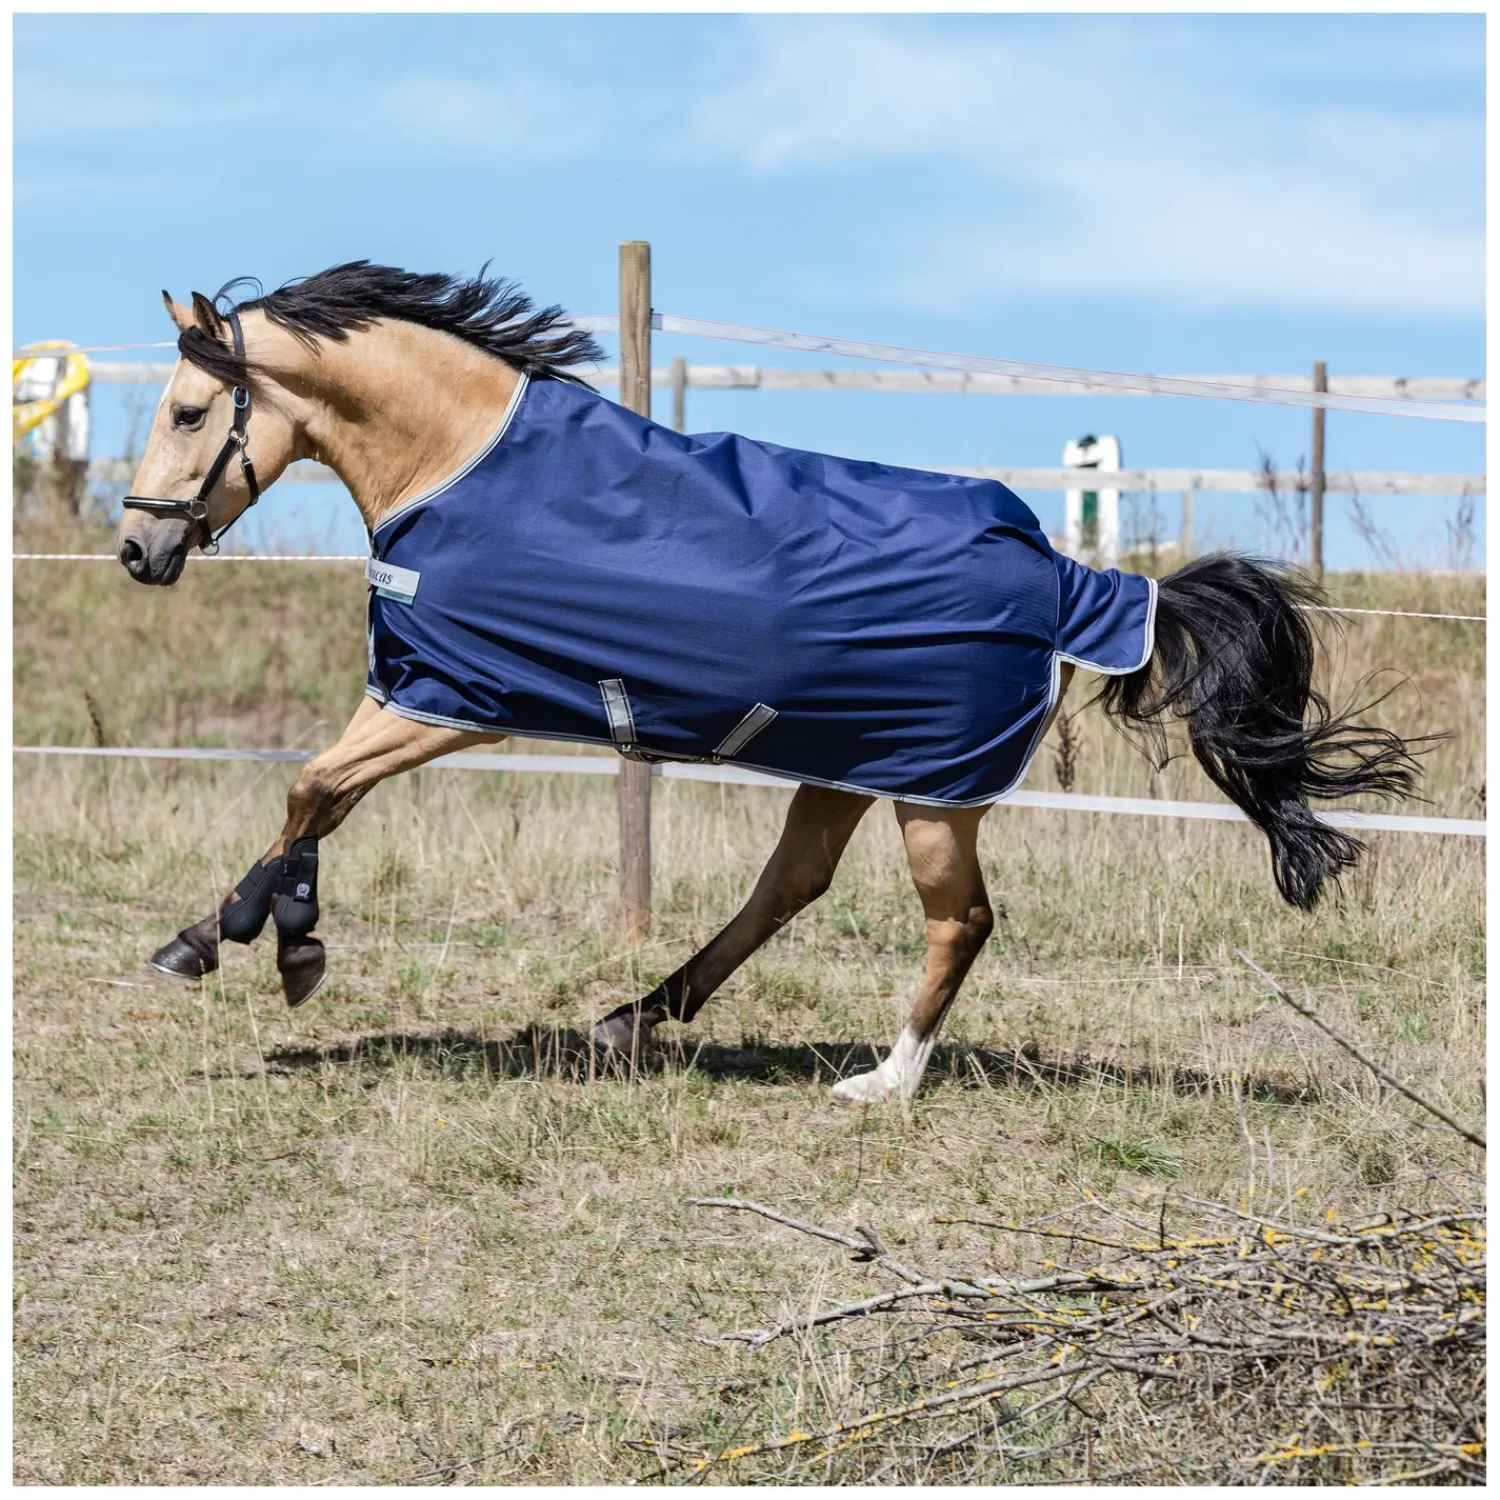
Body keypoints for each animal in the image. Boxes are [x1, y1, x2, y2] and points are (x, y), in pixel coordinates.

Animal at [115, 261, 1420, 1106]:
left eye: (187, 410)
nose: (137, 549)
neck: (460, 463)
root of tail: (1071, 581)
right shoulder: (416, 691)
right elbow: (316, 795)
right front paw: (232, 940)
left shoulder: (452, 699)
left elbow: (315, 790)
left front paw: (260, 943)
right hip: (843, 760)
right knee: (788, 889)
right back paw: (631, 1018)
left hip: (933, 792)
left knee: (959, 922)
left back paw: (883, 1081)